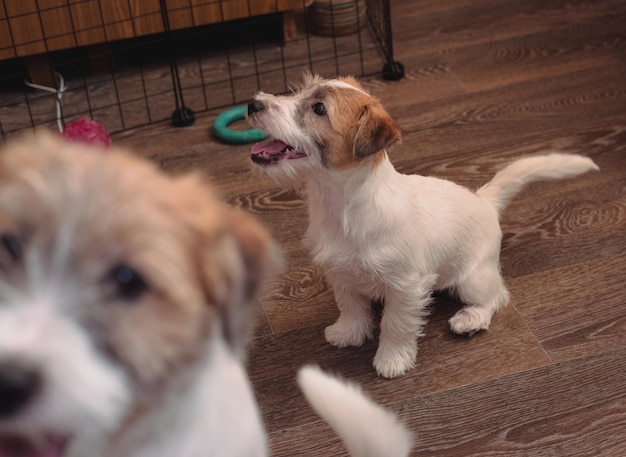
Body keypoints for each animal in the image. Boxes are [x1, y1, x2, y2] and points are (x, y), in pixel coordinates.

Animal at [246, 72, 596, 378]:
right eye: (299, 91)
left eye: (319, 109)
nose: (253, 103)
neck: (342, 205)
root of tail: (484, 199)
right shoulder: (340, 273)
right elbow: (352, 307)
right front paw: (348, 333)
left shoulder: (405, 286)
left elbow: (395, 324)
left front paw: (392, 359)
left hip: (472, 278)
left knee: (497, 296)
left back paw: (470, 319)